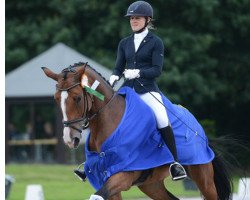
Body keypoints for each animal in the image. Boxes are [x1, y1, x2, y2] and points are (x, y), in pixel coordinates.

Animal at [42, 61, 232, 199]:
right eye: (56, 98)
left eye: (78, 98)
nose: (70, 138)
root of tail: (197, 127)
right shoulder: (105, 177)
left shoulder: (122, 175)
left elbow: (96, 196)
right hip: (151, 184)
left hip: (203, 176)